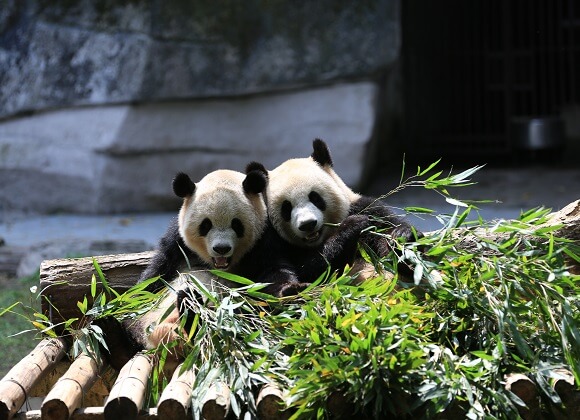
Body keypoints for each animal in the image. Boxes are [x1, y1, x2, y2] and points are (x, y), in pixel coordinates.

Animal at [94, 167, 304, 370]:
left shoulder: (264, 239)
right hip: (149, 318)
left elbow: (273, 273)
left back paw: (191, 312)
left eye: (237, 224)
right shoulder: (177, 242)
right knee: (133, 328)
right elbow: (154, 276)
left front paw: (289, 290)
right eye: (206, 225)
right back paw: (114, 336)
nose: (221, 248)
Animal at [247, 139, 420, 284]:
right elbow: (309, 271)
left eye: (315, 197)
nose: (308, 224)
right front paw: (352, 226)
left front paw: (403, 239)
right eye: (286, 207)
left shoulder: (367, 210)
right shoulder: (268, 239)